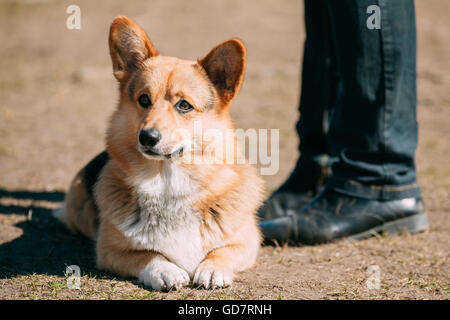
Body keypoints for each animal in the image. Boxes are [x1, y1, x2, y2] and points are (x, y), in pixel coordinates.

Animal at [56, 16, 268, 292]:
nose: (147, 137)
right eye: (144, 100)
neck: (168, 181)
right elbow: (149, 255)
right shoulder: (110, 250)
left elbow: (222, 251)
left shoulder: (247, 241)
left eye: (184, 105)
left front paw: (213, 268)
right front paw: (166, 270)